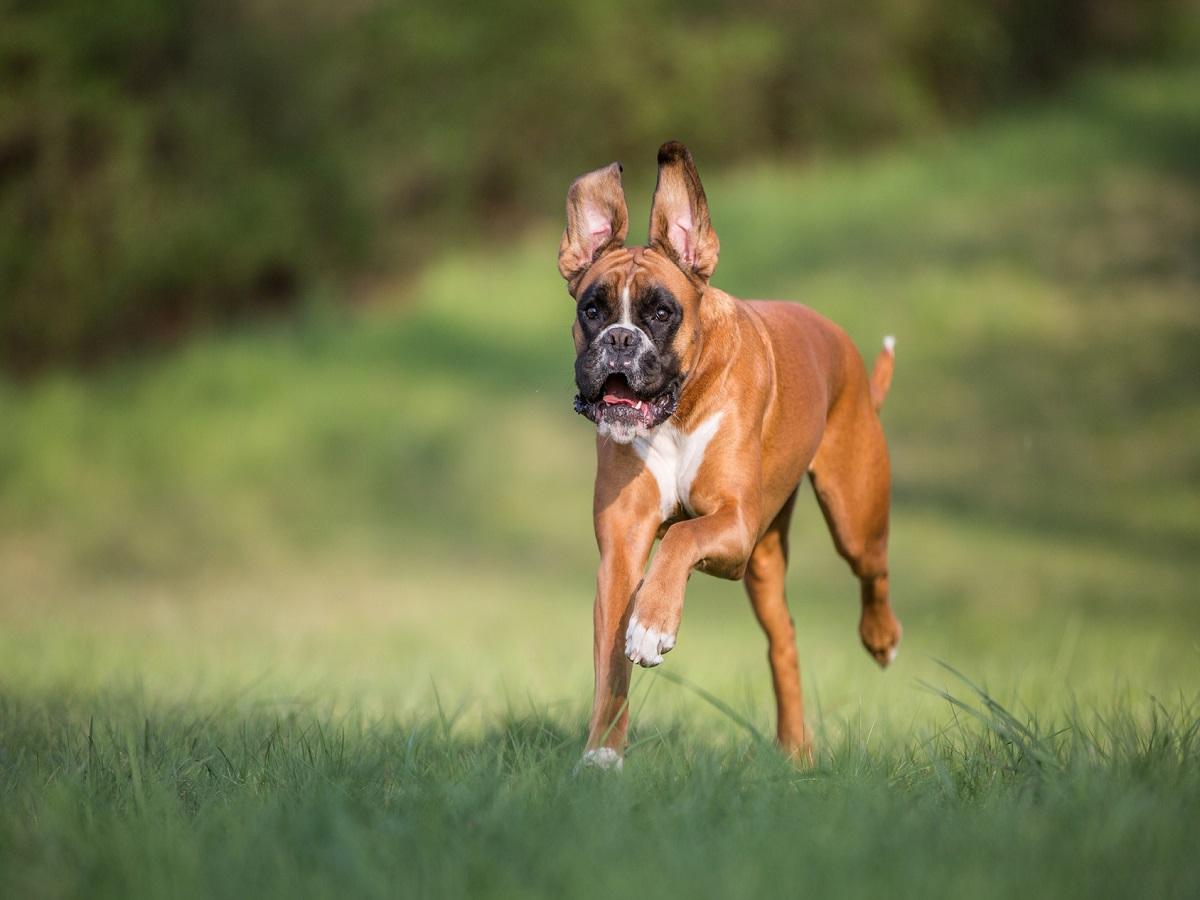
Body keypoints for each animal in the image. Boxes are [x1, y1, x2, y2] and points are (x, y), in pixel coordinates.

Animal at [564, 142, 902, 768]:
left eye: (662, 313)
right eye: (591, 310)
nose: (619, 341)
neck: (677, 412)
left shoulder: (734, 525)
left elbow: (680, 537)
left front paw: (653, 623)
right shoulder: (621, 553)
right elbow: (612, 663)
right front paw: (602, 752)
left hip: (852, 514)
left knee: (874, 569)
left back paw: (881, 640)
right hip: (764, 564)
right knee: (783, 641)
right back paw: (795, 750)